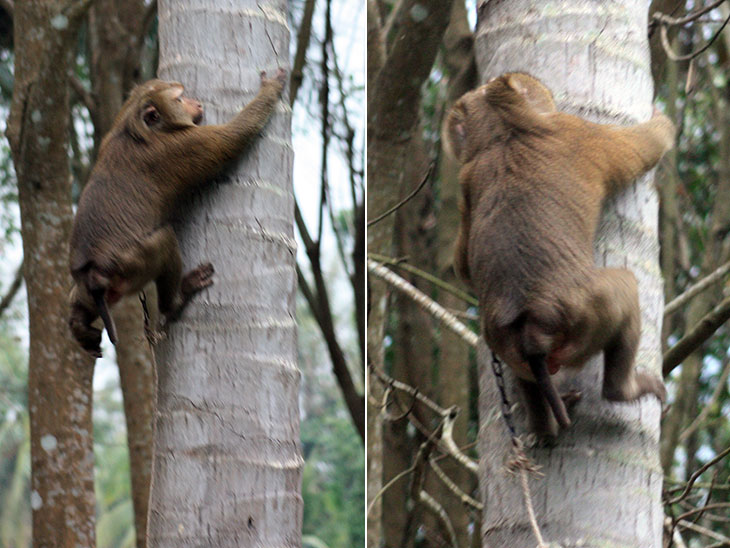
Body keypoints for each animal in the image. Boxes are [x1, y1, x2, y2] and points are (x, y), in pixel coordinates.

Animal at [67, 68, 284, 358]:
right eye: (180, 99)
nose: (198, 104)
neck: (143, 129)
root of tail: (94, 275)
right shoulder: (183, 146)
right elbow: (233, 138)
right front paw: (271, 89)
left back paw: (78, 319)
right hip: (131, 266)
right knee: (163, 242)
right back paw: (176, 301)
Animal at [438, 73, 672, 438]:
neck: (506, 132)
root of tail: (533, 330)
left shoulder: (467, 177)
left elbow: (462, 267)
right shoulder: (577, 131)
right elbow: (646, 145)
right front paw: (661, 118)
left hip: (508, 346)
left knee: (524, 376)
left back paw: (544, 425)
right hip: (588, 314)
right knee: (624, 288)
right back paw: (624, 389)